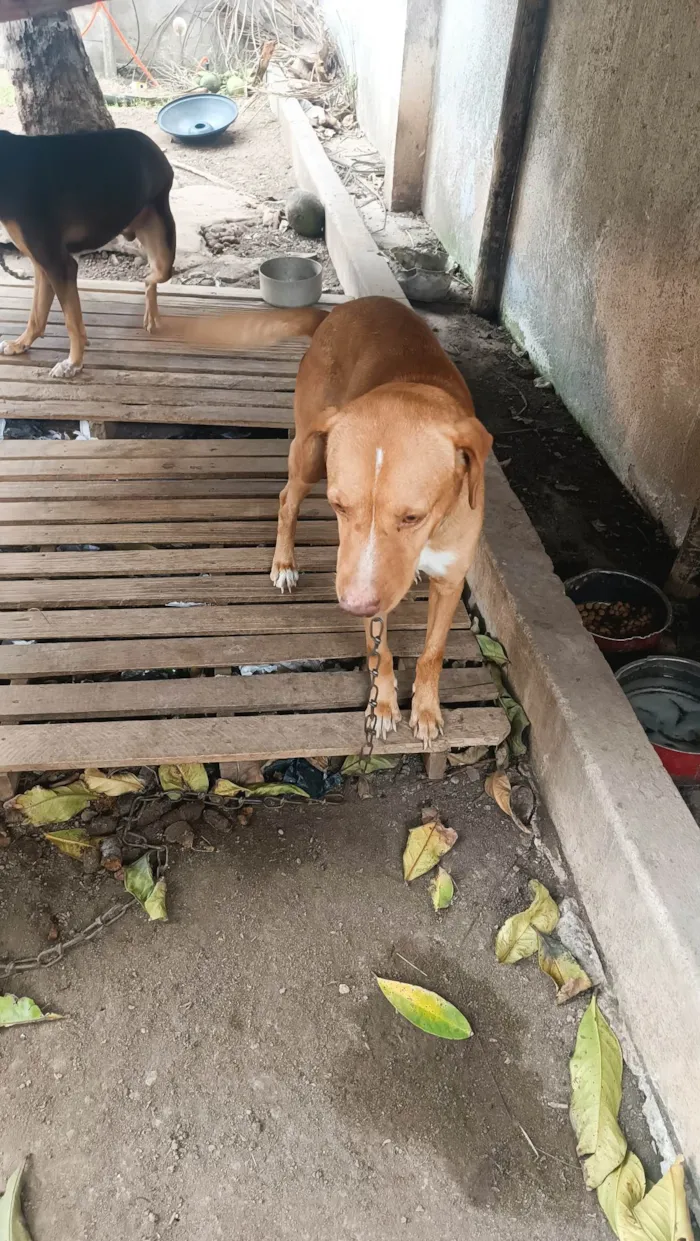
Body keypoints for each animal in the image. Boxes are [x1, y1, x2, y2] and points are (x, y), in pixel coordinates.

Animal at [0, 126, 173, 379]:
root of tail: (152, 146)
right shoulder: (42, 265)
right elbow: (36, 316)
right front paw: (20, 344)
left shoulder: (60, 266)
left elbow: (72, 322)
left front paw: (73, 363)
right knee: (149, 279)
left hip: (163, 254)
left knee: (151, 277)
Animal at [161, 295, 493, 739]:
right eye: (339, 506)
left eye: (413, 517)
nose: (352, 605)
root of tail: (334, 313)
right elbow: (379, 652)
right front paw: (382, 705)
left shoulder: (449, 581)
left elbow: (433, 652)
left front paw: (425, 709)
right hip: (309, 455)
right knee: (287, 499)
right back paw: (284, 562)